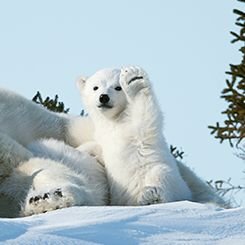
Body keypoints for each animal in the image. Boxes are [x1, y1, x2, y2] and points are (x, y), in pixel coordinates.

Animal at [77, 65, 227, 207]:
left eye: (118, 87)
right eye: (95, 87)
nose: (103, 97)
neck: (115, 121)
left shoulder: (136, 129)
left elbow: (144, 116)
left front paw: (134, 80)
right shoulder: (103, 137)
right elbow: (96, 148)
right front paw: (82, 151)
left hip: (168, 179)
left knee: (161, 176)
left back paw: (150, 196)